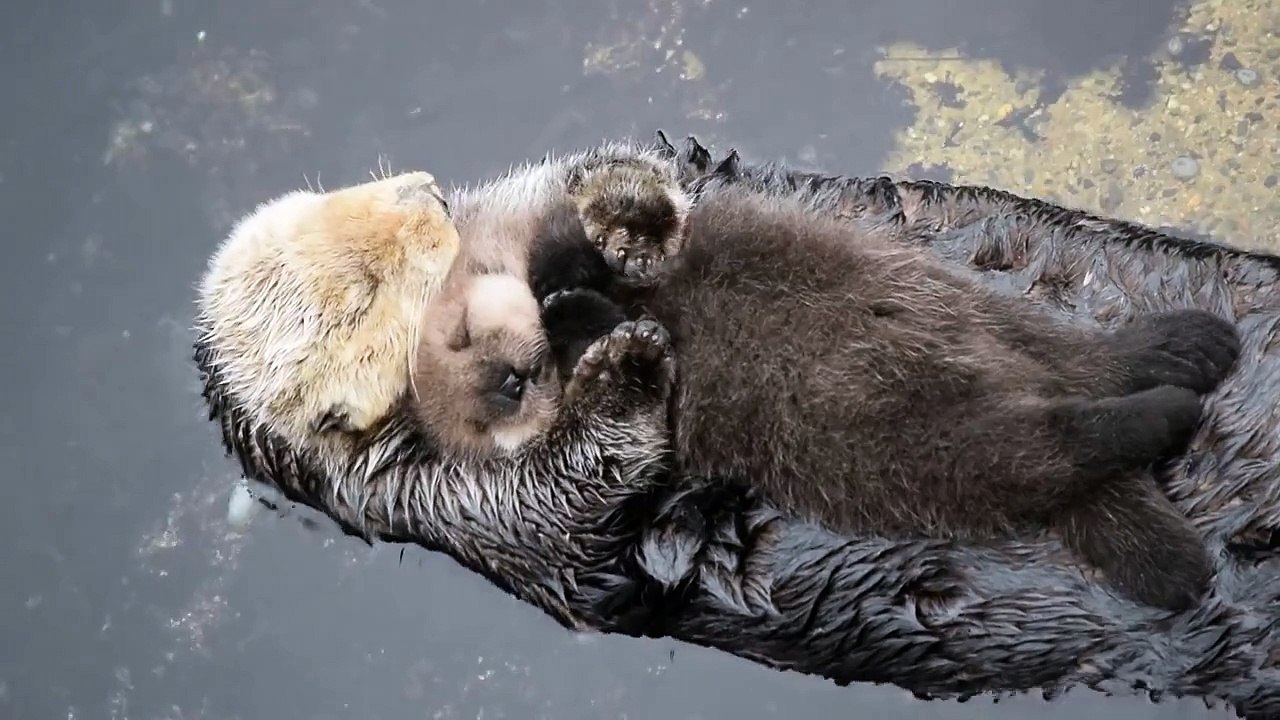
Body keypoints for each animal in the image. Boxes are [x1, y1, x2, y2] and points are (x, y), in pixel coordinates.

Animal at [527, 187, 1240, 612]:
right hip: (923, 442)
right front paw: (575, 305)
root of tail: (1019, 380)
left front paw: (577, 292)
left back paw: (1178, 355)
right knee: (1054, 440)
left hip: (943, 312)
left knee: (1072, 365)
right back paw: (1172, 400)